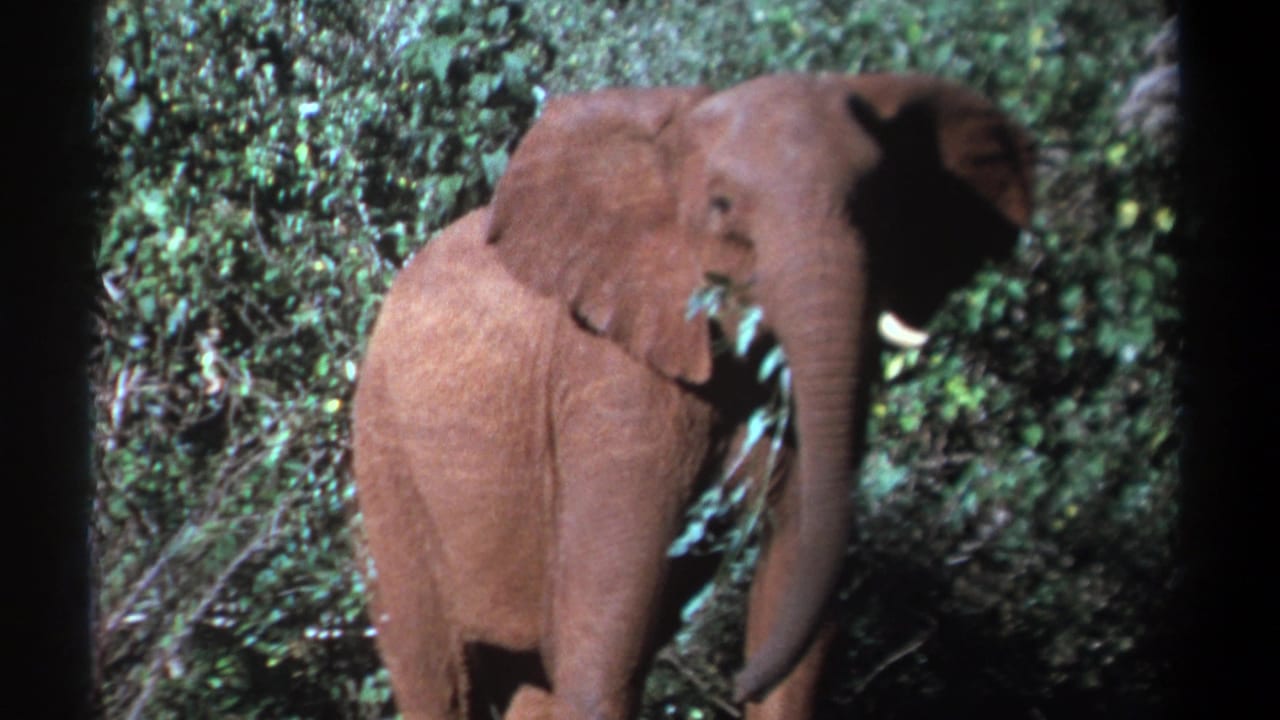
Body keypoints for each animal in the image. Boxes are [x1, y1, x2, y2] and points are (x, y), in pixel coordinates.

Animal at [351, 72, 1034, 720]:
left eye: (882, 209)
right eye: (723, 206)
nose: (733, 681)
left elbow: (797, 582)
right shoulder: (613, 371)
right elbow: (607, 627)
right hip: (384, 451)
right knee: (436, 671)